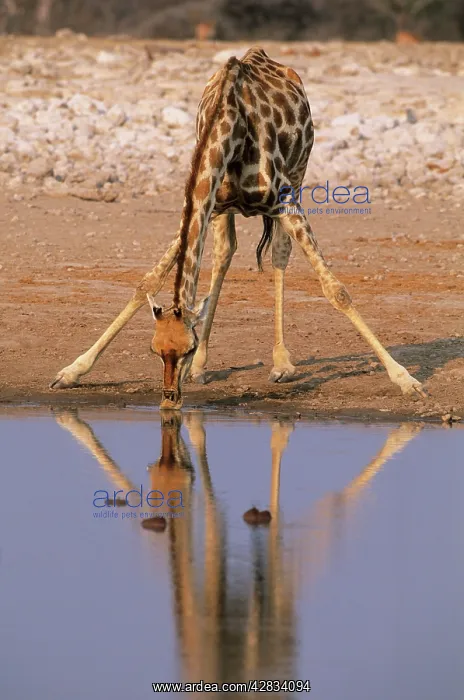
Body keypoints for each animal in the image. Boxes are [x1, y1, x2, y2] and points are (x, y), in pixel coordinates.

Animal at [51, 47, 426, 410]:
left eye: (186, 347)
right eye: (154, 350)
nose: (170, 401)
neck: (230, 126)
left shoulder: (283, 199)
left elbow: (337, 290)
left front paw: (406, 380)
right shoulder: (210, 201)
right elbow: (148, 281)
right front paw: (71, 371)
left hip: (299, 173)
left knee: (279, 253)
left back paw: (281, 363)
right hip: (226, 211)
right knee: (224, 252)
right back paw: (204, 367)